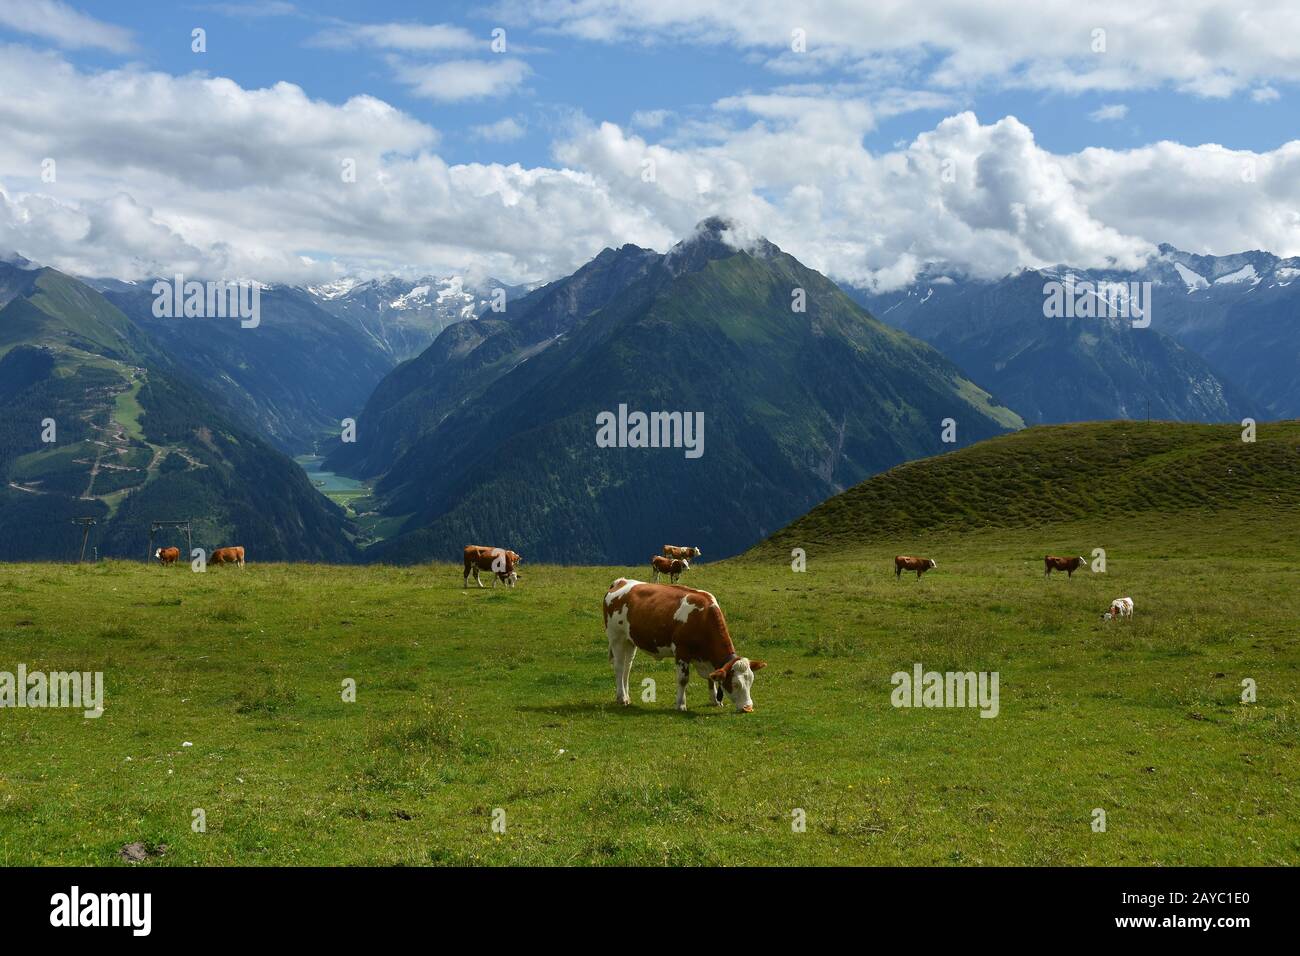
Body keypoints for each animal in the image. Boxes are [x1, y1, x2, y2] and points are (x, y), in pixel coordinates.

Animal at [603, 580, 764, 712]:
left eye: (751, 681)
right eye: (735, 684)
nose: (748, 708)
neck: (703, 618)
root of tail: (621, 581)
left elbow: (711, 678)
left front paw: (715, 701)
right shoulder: (682, 652)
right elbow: (683, 679)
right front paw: (681, 705)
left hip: (630, 641)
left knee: (627, 667)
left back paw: (627, 696)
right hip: (616, 637)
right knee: (619, 666)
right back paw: (622, 698)